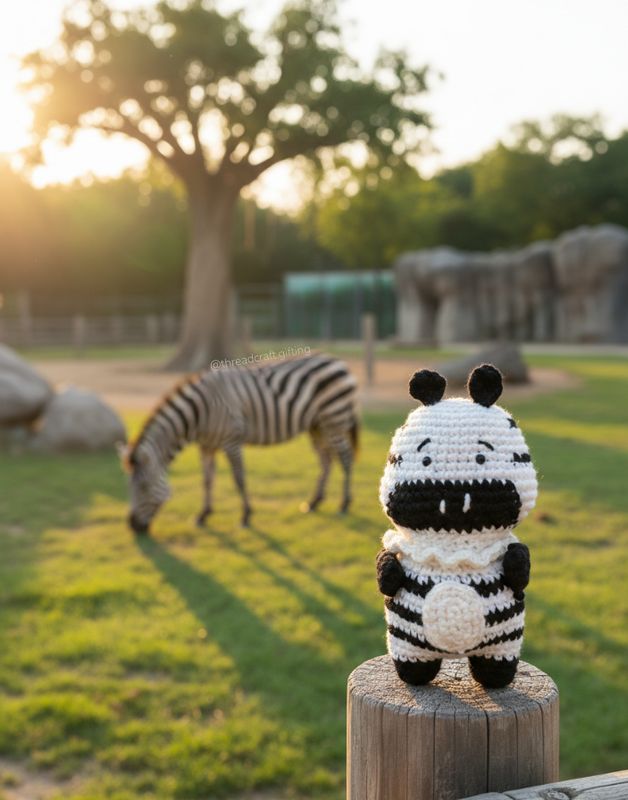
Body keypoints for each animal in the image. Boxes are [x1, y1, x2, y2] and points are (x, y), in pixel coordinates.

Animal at [122, 353, 359, 534]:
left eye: (143, 487)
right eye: (130, 486)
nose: (132, 526)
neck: (199, 413)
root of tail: (338, 361)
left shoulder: (231, 441)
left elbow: (239, 479)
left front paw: (245, 516)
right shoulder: (207, 446)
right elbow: (207, 480)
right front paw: (203, 515)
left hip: (334, 419)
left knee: (345, 459)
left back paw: (344, 504)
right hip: (317, 425)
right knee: (327, 459)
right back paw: (314, 502)